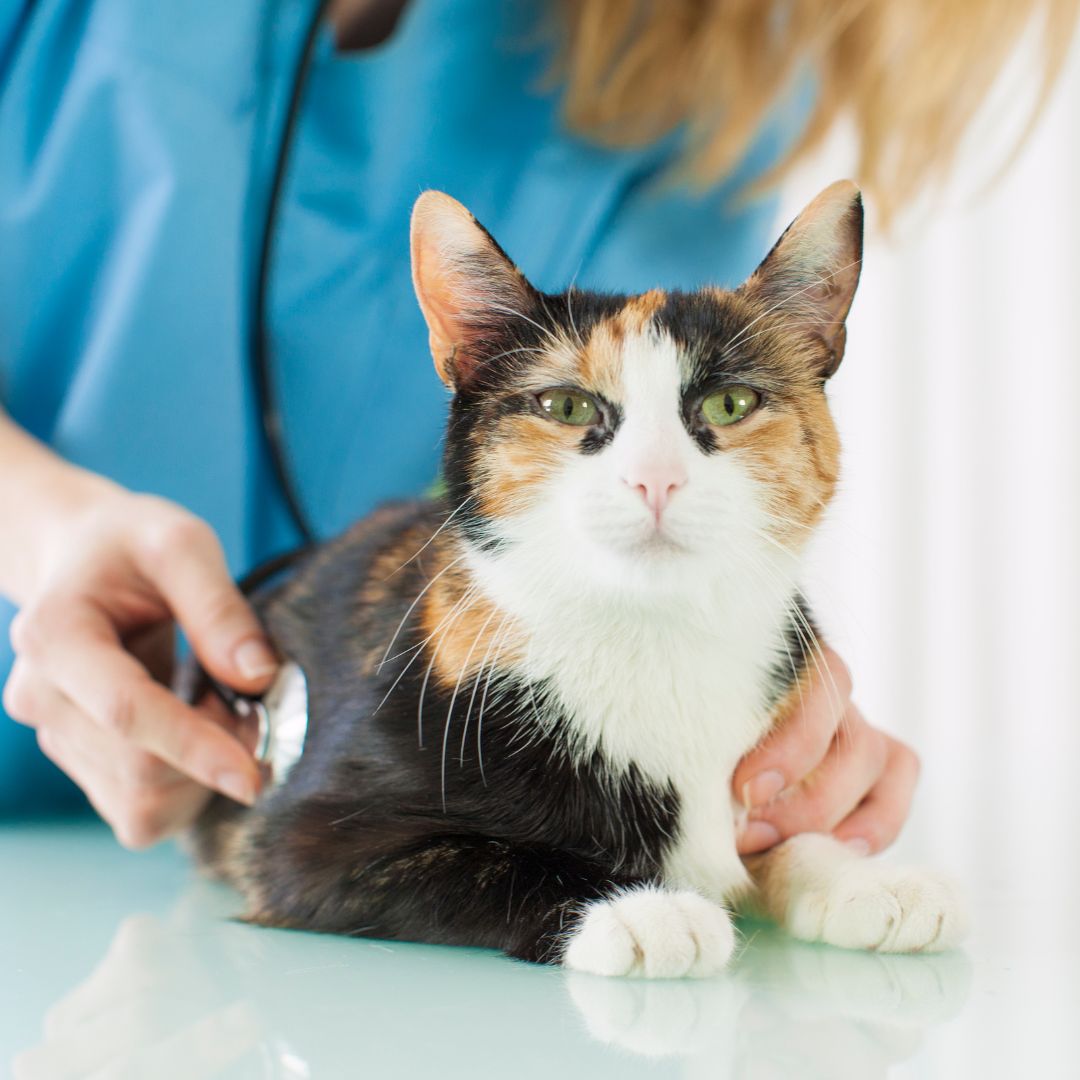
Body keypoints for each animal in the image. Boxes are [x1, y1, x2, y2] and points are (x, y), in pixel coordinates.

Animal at [190, 181, 967, 976]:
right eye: (565, 406)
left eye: (730, 404)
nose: (655, 478)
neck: (653, 639)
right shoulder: (300, 842)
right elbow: (495, 860)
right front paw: (639, 908)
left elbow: (784, 832)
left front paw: (860, 877)